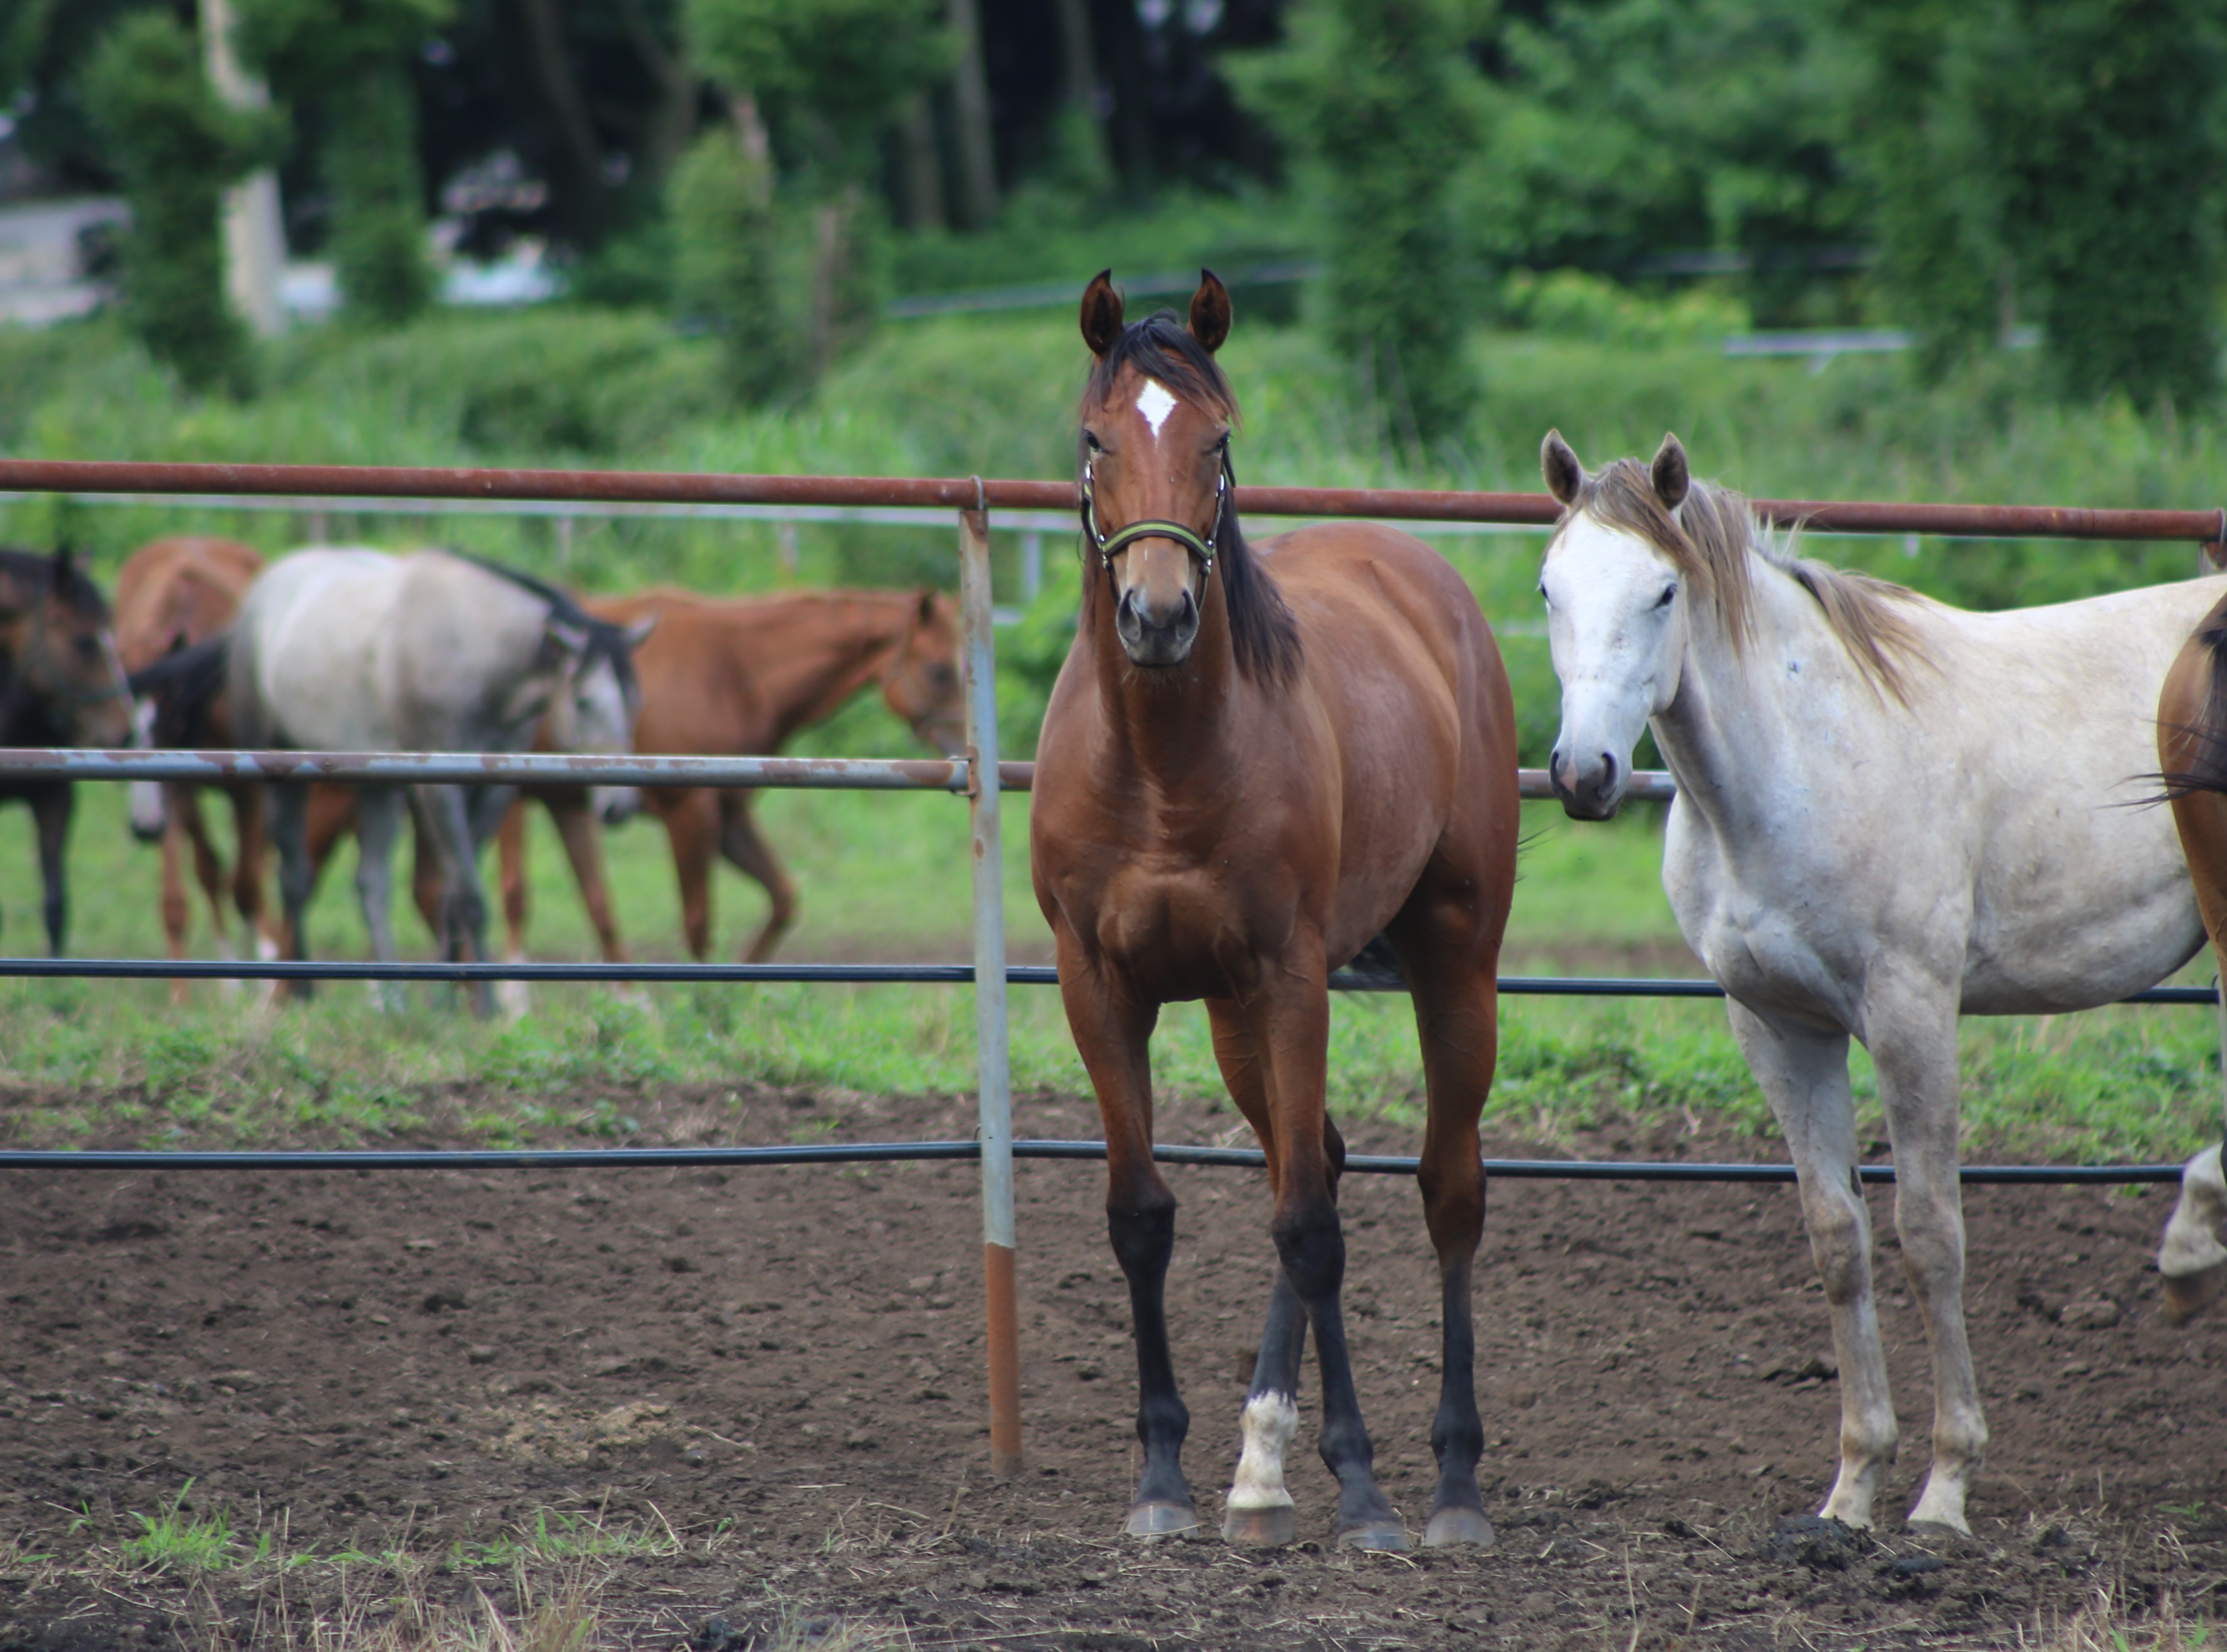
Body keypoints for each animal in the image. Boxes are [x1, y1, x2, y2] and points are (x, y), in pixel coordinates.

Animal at [113, 536, 271, 997]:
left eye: (169, 723)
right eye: (124, 737)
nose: (146, 828)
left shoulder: (251, 791)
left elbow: (248, 886)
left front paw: (267, 983)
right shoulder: (177, 787)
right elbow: (182, 895)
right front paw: (182, 993)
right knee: (211, 868)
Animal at [229, 550, 650, 1015]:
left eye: (635, 700)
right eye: (584, 701)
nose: (619, 807)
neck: (471, 651)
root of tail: (272, 580)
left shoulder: (492, 794)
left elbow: (451, 897)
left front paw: (446, 1001)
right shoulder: (440, 793)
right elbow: (469, 897)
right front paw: (486, 1006)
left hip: (376, 788)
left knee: (372, 886)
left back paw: (392, 999)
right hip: (282, 769)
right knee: (296, 877)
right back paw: (303, 988)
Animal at [1029, 268, 1523, 1549]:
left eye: (1217, 440)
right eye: (1094, 439)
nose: (1156, 617)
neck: (1162, 764)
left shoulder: (1291, 980)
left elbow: (1308, 1229)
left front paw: (1366, 1492)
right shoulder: (1098, 990)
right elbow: (1143, 1216)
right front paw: (1161, 1478)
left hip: (1454, 963)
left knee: (1444, 1191)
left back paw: (1451, 1483)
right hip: (1227, 1017)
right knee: (1322, 1158)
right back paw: (1258, 1465)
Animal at [1541, 430, 2227, 1540]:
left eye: (1661, 591)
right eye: (1548, 586)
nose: (1583, 773)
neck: (1800, 762)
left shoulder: (1912, 1015)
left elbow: (1930, 1236)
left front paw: (1945, 1489)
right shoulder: (1778, 1026)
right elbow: (1839, 1241)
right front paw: (1852, 1488)